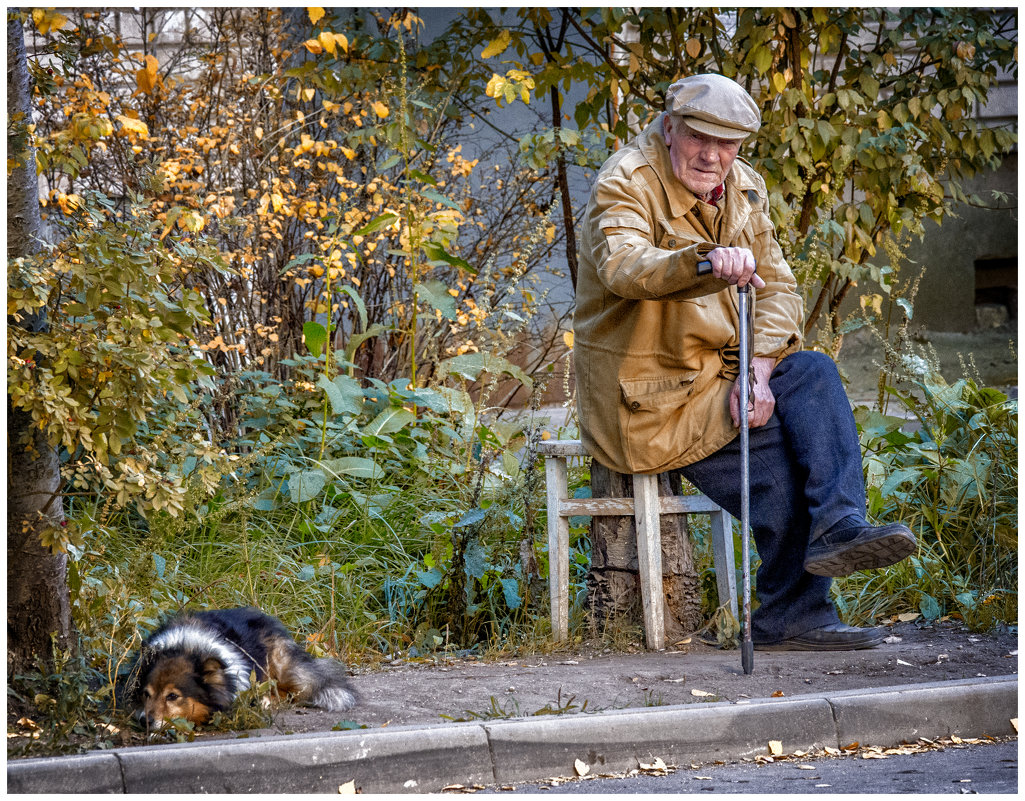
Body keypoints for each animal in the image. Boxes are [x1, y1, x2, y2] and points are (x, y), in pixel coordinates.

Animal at [127, 607, 356, 730]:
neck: (187, 648)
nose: (144, 722)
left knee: (288, 692)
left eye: (172, 696)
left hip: (282, 667)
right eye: (146, 694)